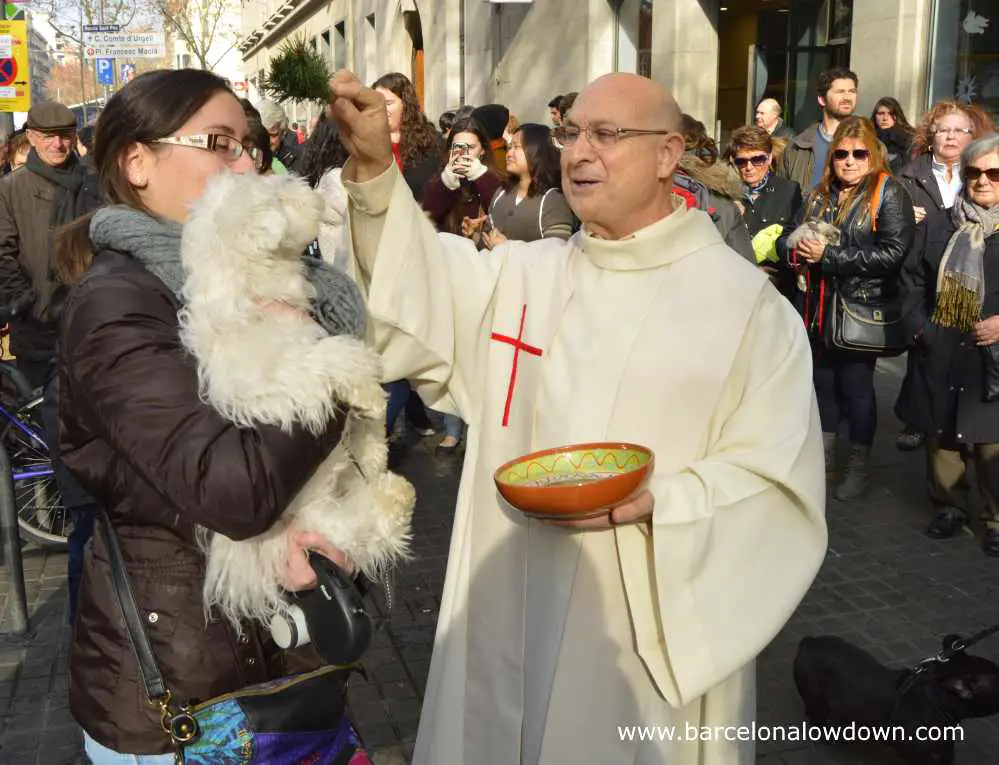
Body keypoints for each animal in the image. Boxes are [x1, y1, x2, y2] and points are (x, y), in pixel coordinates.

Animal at [179, 169, 414, 628]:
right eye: (279, 197)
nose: (307, 187)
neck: (256, 293)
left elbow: (363, 428)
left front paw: (374, 447)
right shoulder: (286, 379)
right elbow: (338, 357)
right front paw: (370, 396)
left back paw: (394, 490)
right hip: (316, 524)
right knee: (361, 528)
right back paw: (397, 496)